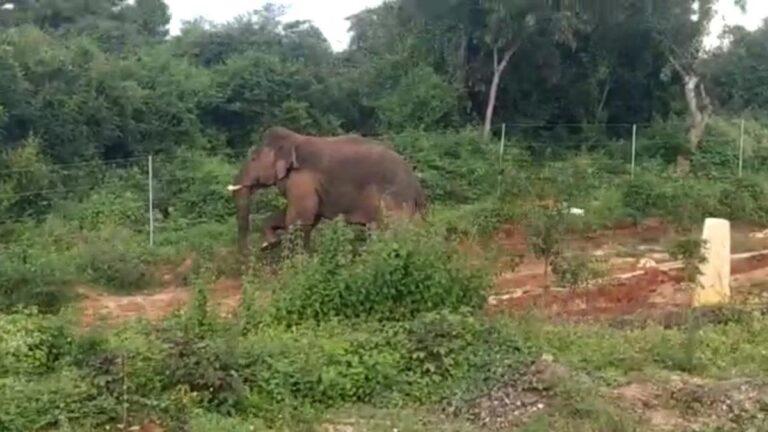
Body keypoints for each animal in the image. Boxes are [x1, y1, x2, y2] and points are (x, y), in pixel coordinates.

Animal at [228, 125, 428, 253]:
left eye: (253, 158)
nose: (249, 252)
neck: (294, 139)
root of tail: (418, 188)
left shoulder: (302, 178)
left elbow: (300, 218)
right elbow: (302, 217)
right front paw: (270, 244)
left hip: (395, 201)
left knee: (393, 230)